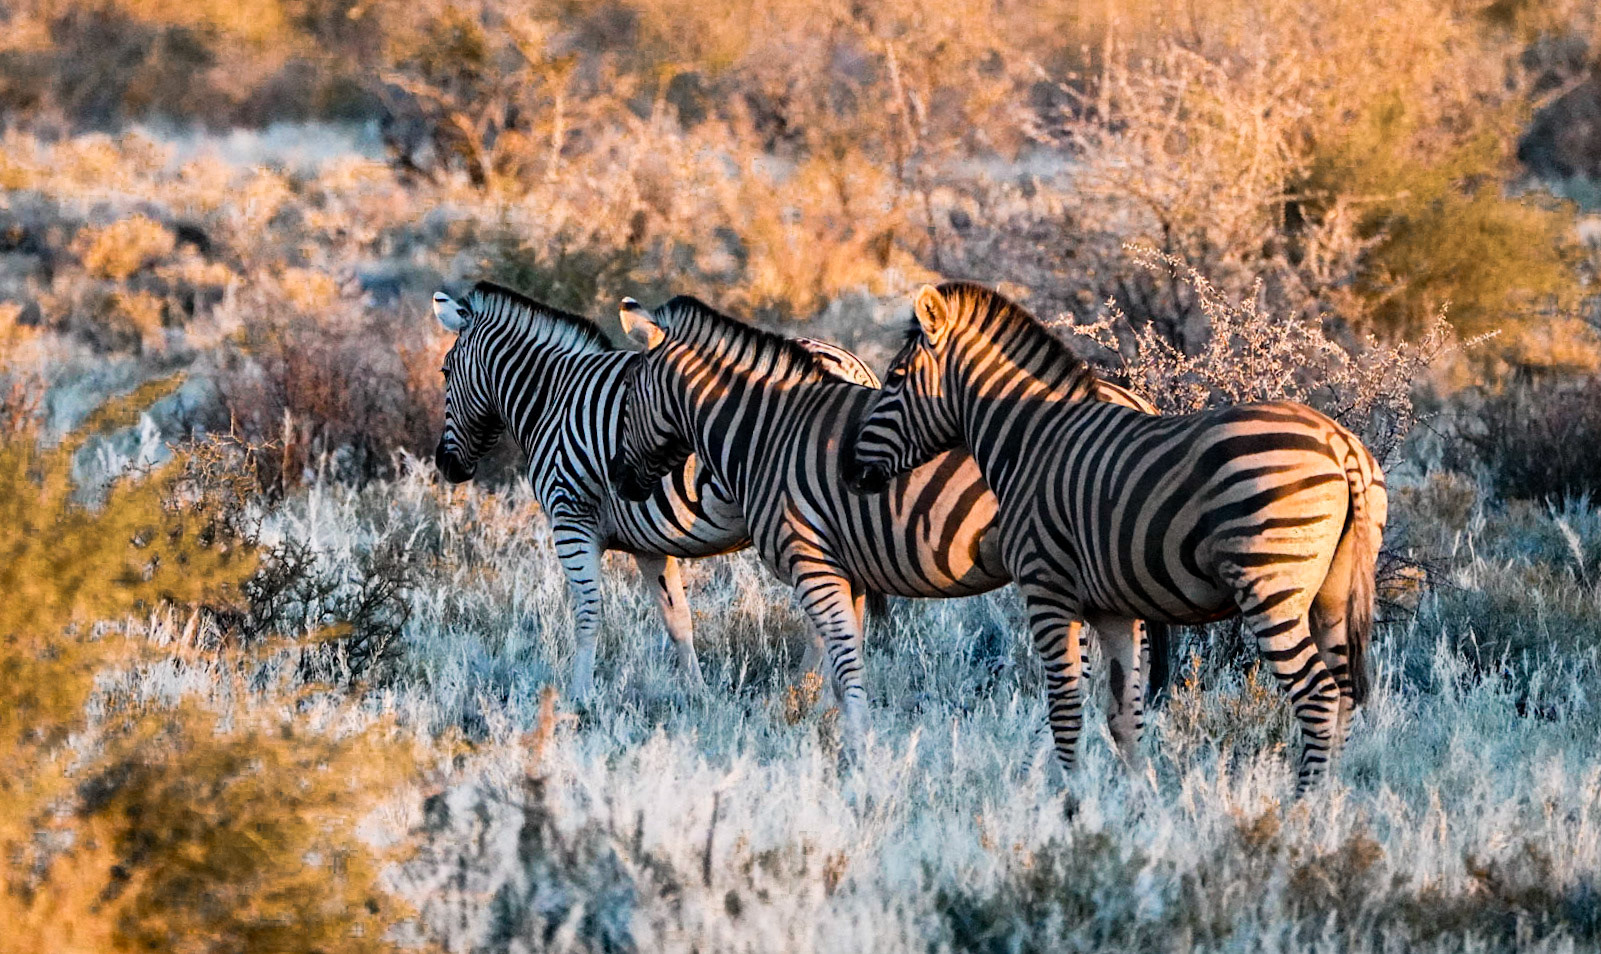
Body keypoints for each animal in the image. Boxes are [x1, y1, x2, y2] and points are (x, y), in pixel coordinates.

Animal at [431, 281, 880, 699]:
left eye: (445, 372)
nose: (444, 465)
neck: (553, 400)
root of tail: (856, 367)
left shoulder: (570, 519)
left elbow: (587, 613)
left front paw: (579, 697)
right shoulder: (648, 543)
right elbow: (676, 618)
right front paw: (698, 694)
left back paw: (801, 690)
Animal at [608, 294, 1167, 750]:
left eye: (628, 392)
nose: (617, 479)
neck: (771, 433)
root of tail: (1134, 400)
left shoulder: (813, 563)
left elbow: (843, 662)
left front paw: (850, 745)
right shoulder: (848, 570)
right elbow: (841, 664)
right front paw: (826, 727)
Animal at [842, 282, 1387, 792]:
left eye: (894, 379)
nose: (853, 474)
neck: (1030, 442)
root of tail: (1341, 444)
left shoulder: (1047, 589)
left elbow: (1065, 705)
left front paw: (1068, 801)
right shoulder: (1112, 609)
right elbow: (1123, 714)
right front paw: (1136, 801)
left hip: (1271, 587)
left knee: (1317, 695)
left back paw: (1304, 805)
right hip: (1331, 595)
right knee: (1343, 695)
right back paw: (1332, 802)